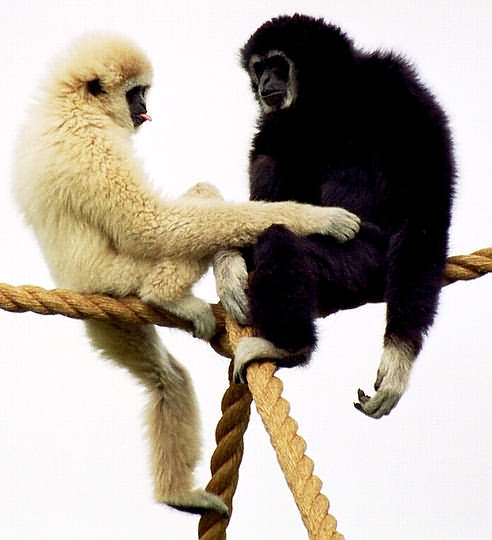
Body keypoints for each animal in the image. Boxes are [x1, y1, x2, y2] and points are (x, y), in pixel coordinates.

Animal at [13, 33, 360, 515]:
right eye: (135, 92)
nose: (143, 108)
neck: (68, 105)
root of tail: (79, 286)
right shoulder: (94, 141)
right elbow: (150, 223)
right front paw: (317, 219)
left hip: (110, 316)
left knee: (165, 378)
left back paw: (177, 494)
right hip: (121, 277)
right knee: (184, 221)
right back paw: (167, 295)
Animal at [214, 14, 455, 419]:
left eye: (277, 64)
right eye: (259, 68)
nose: (265, 82)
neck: (326, 101)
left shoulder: (398, 85)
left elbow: (427, 209)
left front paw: (398, 357)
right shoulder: (273, 125)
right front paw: (229, 263)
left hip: (366, 260)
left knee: (279, 239)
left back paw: (290, 347)